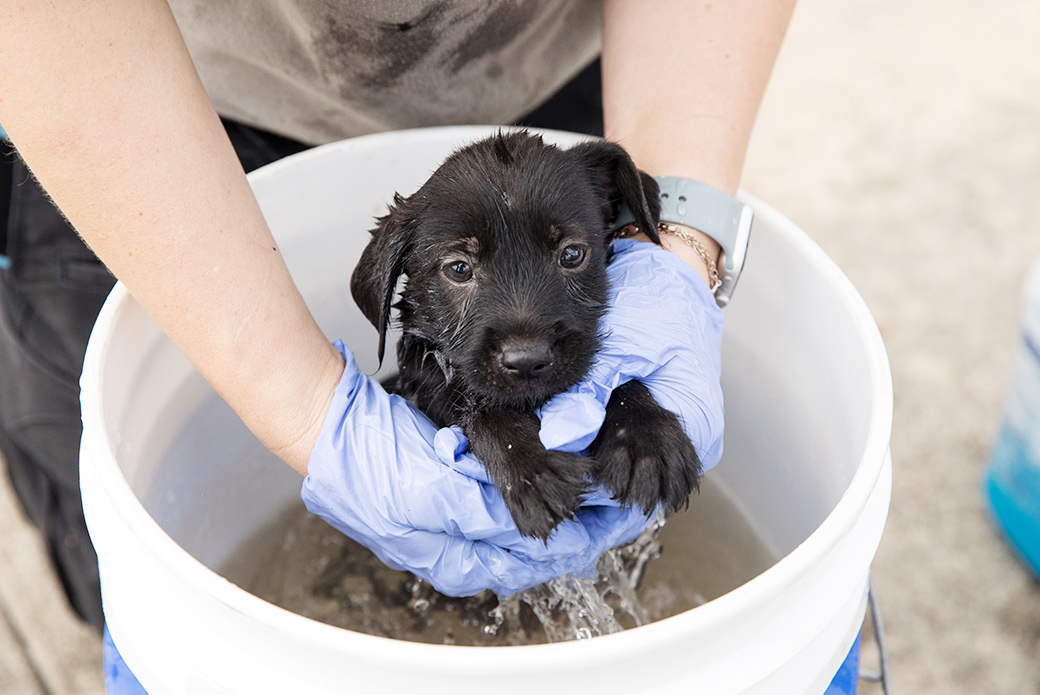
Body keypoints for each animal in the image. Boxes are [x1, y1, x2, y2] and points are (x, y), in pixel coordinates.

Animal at [353, 131, 703, 541]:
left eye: (572, 254)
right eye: (459, 269)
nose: (527, 361)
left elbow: (610, 379)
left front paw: (644, 437)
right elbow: (475, 406)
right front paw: (533, 466)